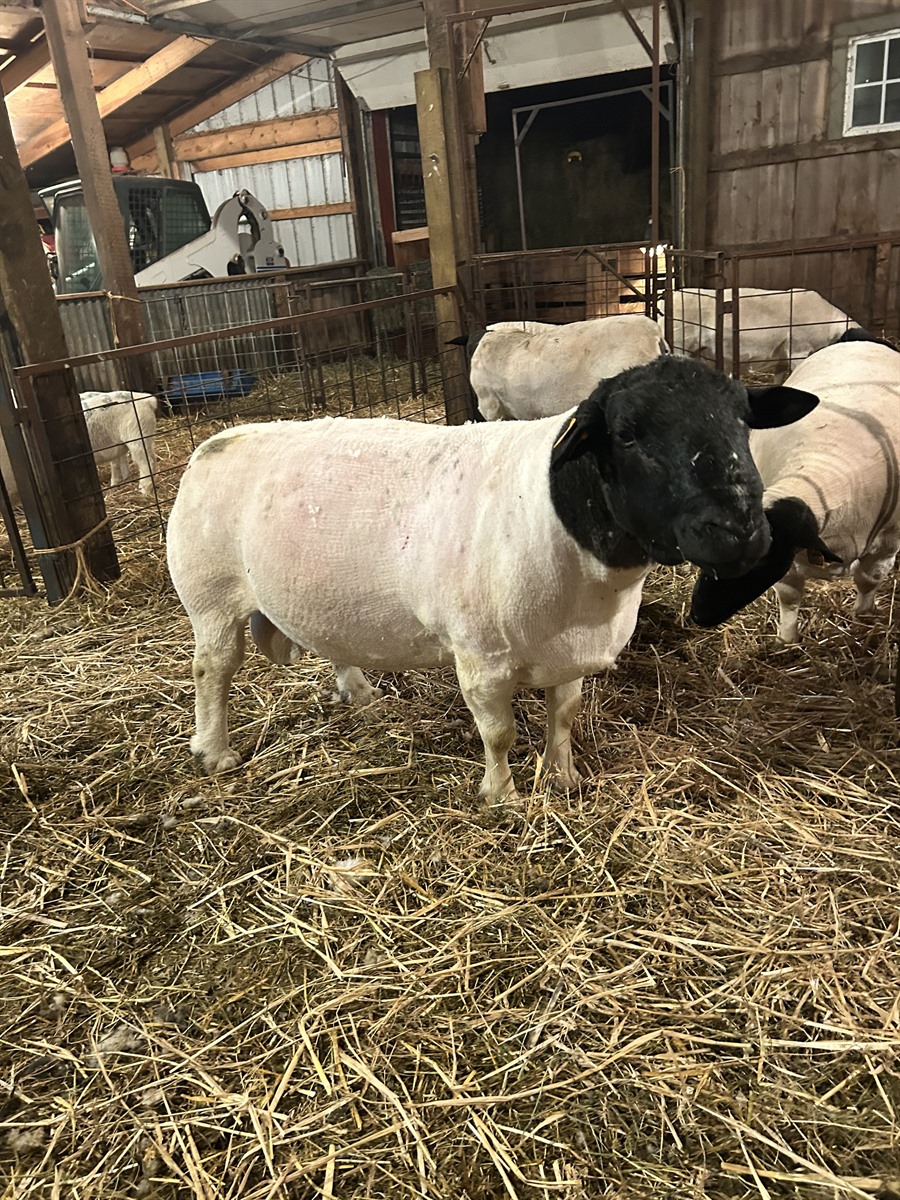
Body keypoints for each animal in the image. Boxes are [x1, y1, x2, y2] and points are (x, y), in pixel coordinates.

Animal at [166, 355, 819, 802]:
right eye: (628, 435)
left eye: (744, 422)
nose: (740, 529)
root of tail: (213, 443)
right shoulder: (480, 658)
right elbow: (499, 733)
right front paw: (501, 797)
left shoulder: (568, 654)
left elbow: (563, 718)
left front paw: (564, 777)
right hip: (210, 596)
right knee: (211, 670)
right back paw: (214, 751)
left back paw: (360, 694)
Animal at [691, 330, 899, 642]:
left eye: (761, 561)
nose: (698, 614)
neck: (820, 473)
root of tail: (858, 336)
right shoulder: (792, 561)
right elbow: (789, 597)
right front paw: (787, 640)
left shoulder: (886, 546)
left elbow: (868, 580)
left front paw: (862, 618)